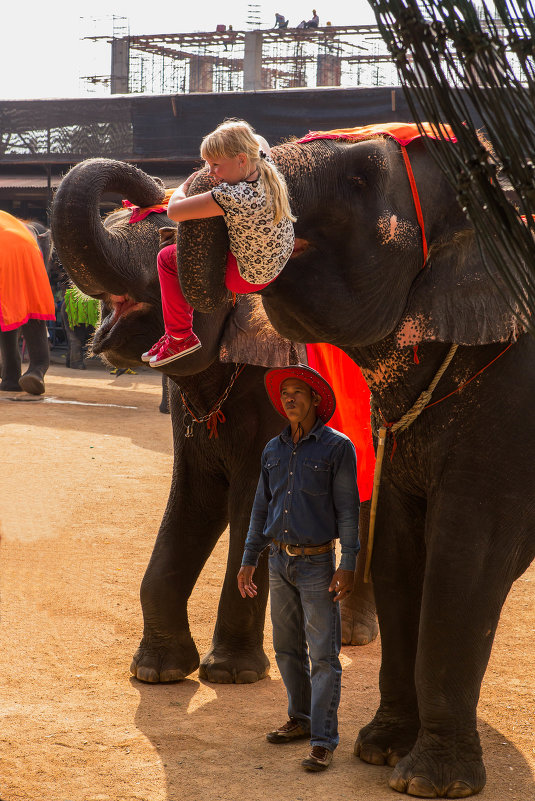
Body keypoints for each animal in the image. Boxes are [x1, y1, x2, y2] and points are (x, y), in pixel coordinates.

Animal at [50, 158, 376, 688]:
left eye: (167, 240)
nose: (157, 188)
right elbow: (194, 499)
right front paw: (156, 671)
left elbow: (252, 506)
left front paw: (231, 673)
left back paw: (351, 634)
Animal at [171, 128, 535, 796]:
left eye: (363, 177)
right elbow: (394, 549)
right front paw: (379, 751)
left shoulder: (516, 409)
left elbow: (466, 560)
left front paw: (427, 782)